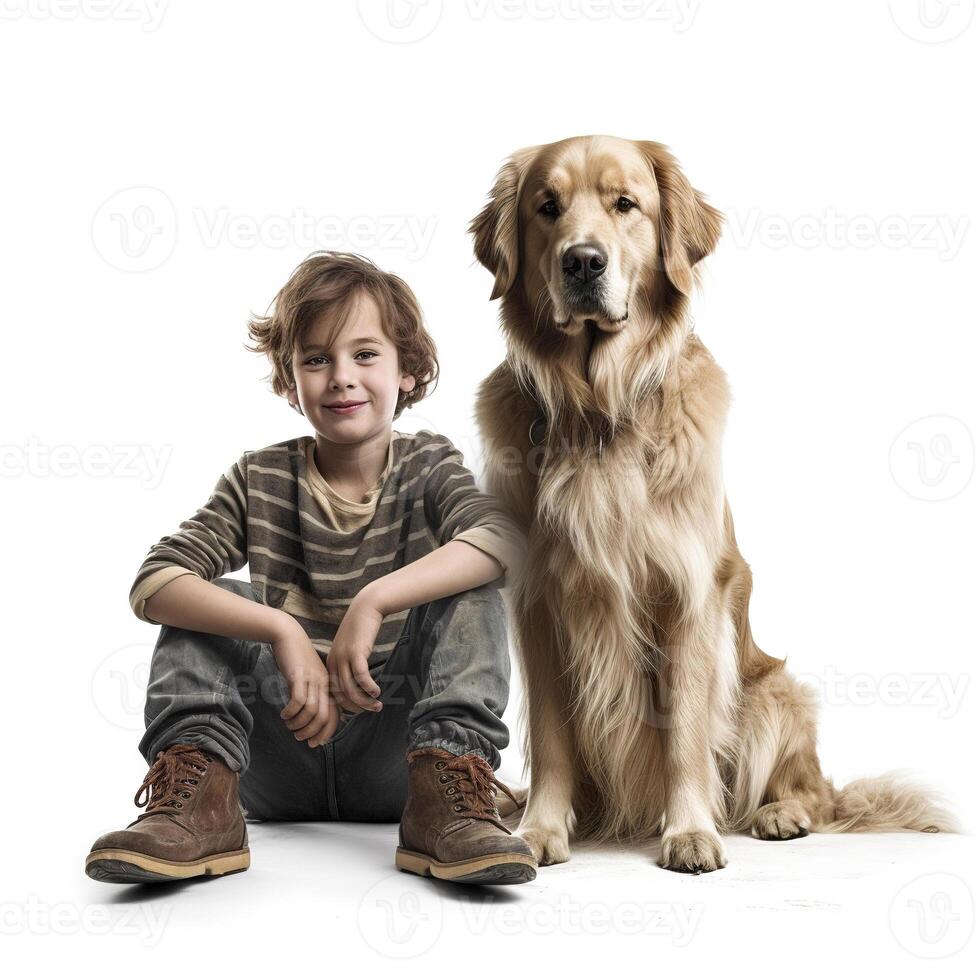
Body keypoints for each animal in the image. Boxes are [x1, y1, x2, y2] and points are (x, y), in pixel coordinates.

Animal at [468, 136, 956, 872]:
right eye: (546, 207)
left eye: (626, 204)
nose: (583, 261)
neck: (599, 414)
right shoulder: (538, 600)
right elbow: (551, 737)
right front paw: (541, 829)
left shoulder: (689, 593)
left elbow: (686, 734)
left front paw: (691, 831)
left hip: (778, 692)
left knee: (811, 790)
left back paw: (781, 815)